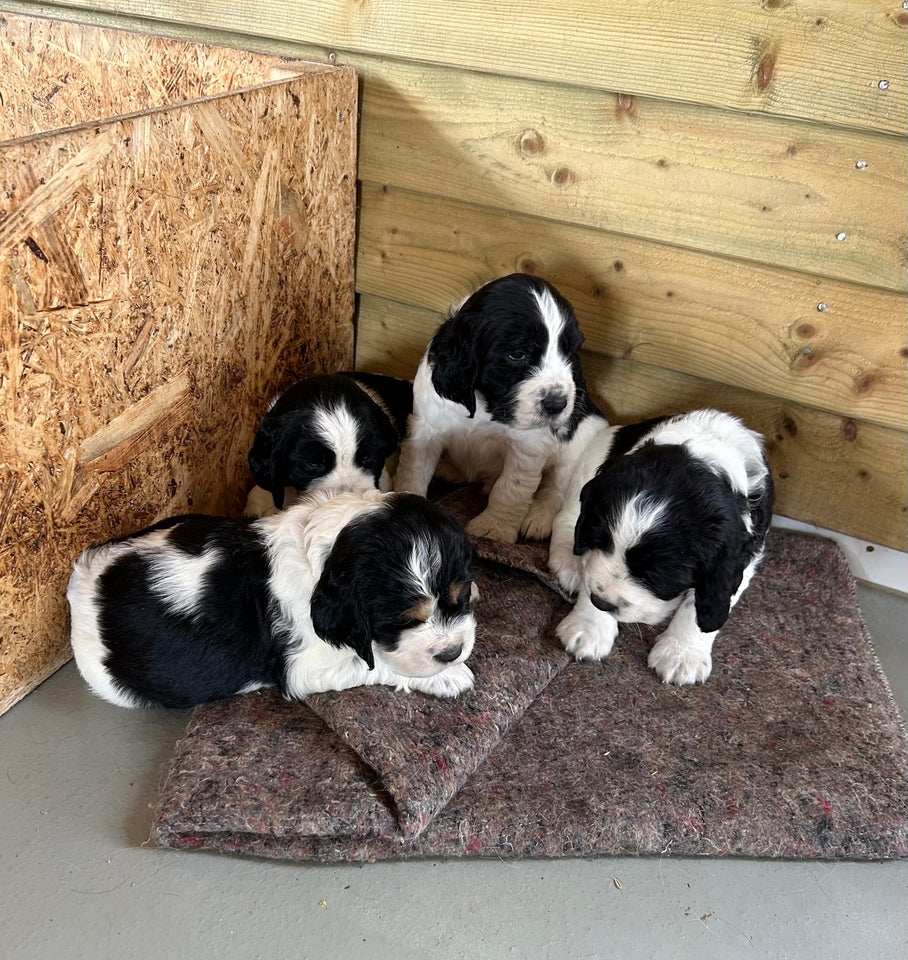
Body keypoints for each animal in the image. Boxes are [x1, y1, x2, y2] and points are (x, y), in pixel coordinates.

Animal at [67, 492, 478, 708]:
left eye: (460, 596)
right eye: (402, 621)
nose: (452, 652)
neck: (327, 557)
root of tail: (80, 583)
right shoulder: (303, 669)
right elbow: (374, 665)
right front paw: (449, 676)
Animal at [396, 274, 604, 544]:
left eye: (569, 352)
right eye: (517, 354)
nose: (557, 404)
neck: (485, 405)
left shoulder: (528, 446)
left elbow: (510, 487)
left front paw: (494, 528)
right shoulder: (426, 428)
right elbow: (414, 470)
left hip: (581, 440)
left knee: (556, 485)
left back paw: (538, 516)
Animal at [548, 408, 772, 688]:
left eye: (657, 577)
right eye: (598, 541)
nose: (602, 603)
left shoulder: (747, 551)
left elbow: (701, 602)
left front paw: (681, 655)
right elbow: (592, 568)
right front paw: (588, 626)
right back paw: (568, 564)